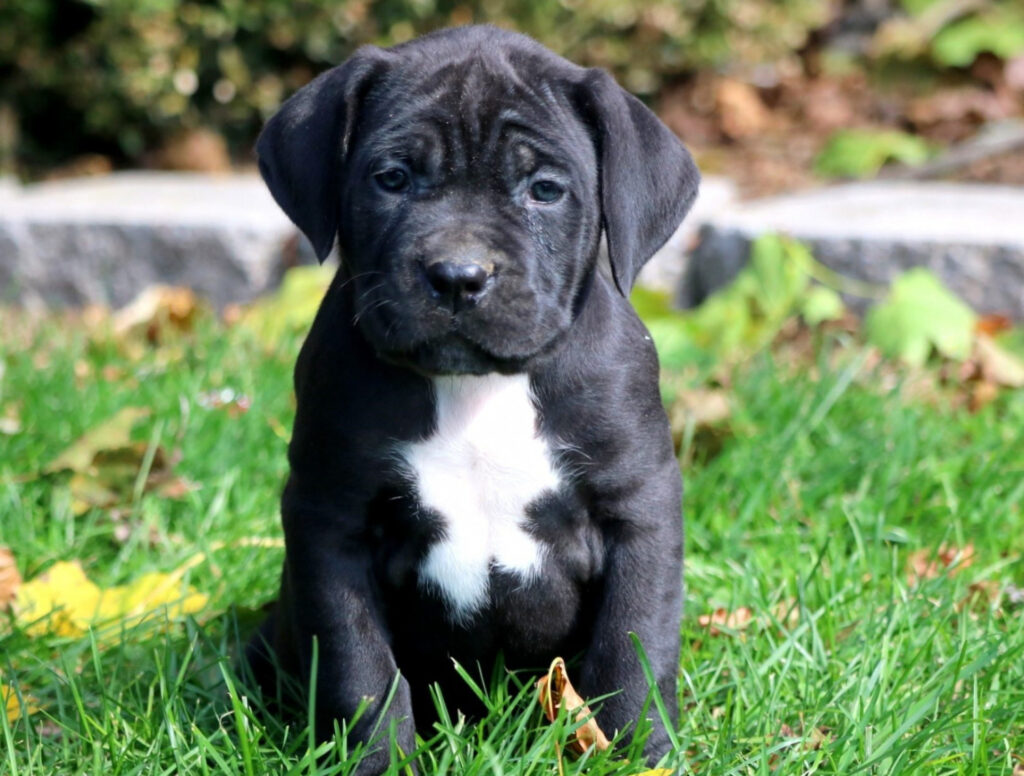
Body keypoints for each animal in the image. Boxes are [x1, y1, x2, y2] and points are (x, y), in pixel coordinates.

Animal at [244, 22, 700, 773]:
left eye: (545, 190)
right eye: (392, 179)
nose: (459, 275)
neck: (480, 385)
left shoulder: (639, 507)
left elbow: (632, 645)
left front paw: (635, 751)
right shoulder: (329, 517)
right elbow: (359, 666)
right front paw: (379, 761)